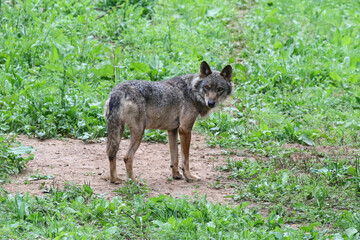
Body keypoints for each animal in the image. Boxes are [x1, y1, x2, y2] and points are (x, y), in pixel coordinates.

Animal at [104, 61, 233, 183]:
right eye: (207, 87)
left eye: (220, 89)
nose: (211, 103)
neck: (192, 91)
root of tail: (118, 90)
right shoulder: (185, 130)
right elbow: (185, 160)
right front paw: (189, 177)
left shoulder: (172, 130)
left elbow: (175, 158)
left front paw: (176, 175)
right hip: (139, 131)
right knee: (127, 157)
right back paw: (134, 181)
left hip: (118, 131)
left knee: (111, 154)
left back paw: (115, 179)